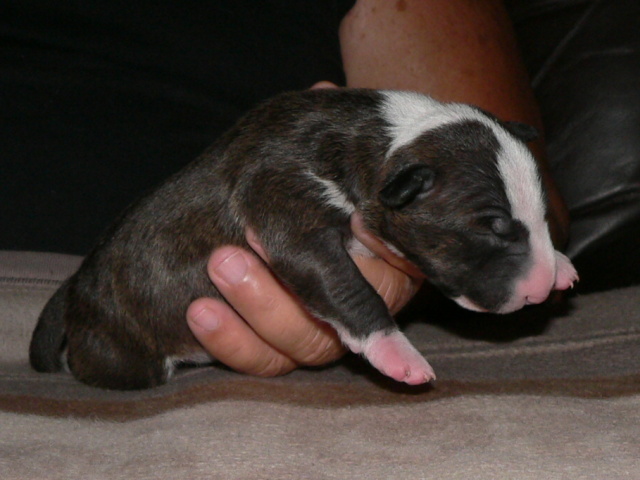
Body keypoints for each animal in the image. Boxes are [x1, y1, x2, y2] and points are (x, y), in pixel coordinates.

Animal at [29, 88, 578, 389]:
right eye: (492, 227)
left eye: (542, 216)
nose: (536, 290)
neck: (381, 143)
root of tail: (77, 284)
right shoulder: (285, 204)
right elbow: (349, 289)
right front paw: (397, 353)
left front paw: (561, 263)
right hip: (120, 350)